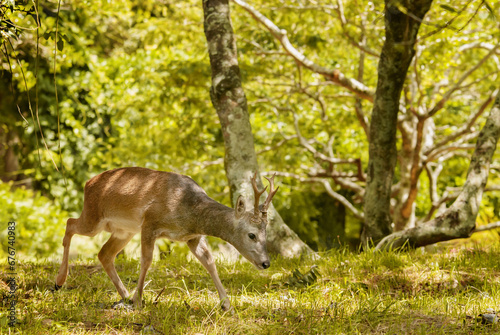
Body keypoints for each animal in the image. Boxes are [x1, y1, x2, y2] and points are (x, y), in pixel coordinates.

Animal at [57, 167, 282, 312]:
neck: (189, 211)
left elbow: (209, 262)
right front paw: (139, 300)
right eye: (251, 234)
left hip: (123, 230)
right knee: (69, 223)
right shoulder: (149, 222)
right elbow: (147, 260)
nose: (266, 263)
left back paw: (125, 295)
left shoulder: (192, 237)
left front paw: (226, 304)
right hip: (94, 217)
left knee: (104, 253)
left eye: (266, 233)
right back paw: (60, 280)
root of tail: (88, 183)